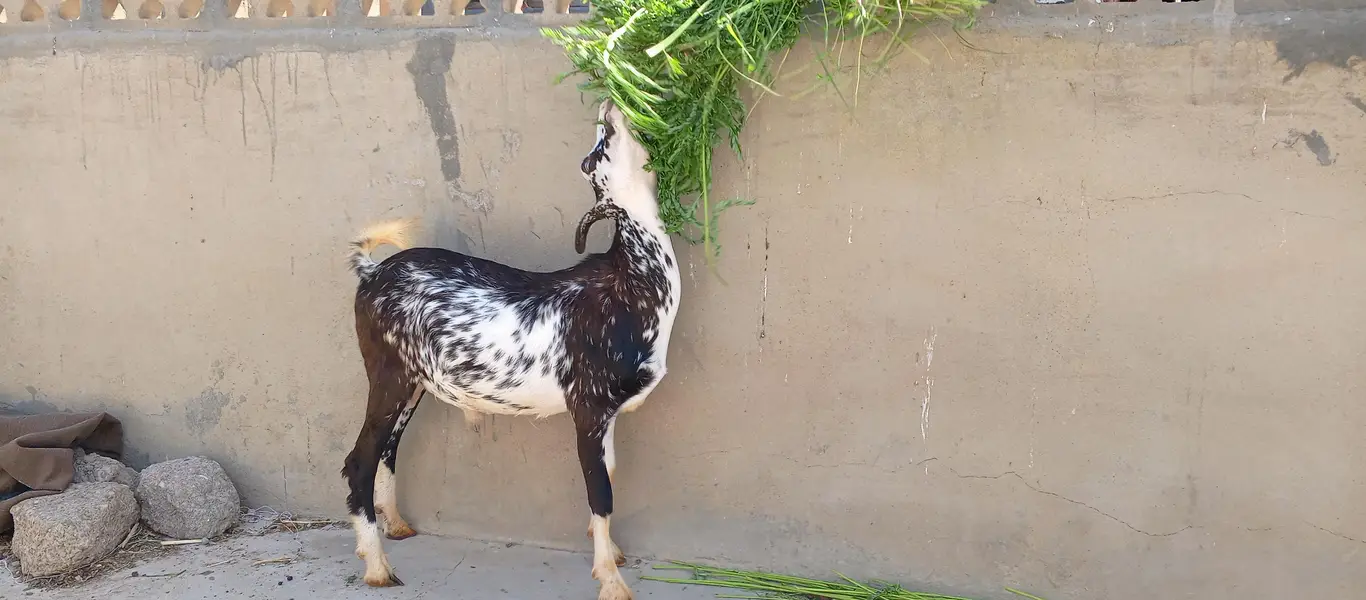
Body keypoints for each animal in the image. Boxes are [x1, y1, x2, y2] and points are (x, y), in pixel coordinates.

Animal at [340, 99, 680, 600]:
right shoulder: (588, 406)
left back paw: (395, 526)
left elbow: (611, 471)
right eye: (594, 153)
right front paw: (611, 580)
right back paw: (378, 567)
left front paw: (612, 553)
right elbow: (600, 491)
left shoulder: (610, 412)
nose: (610, 105)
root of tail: (371, 272)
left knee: (388, 448)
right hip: (387, 373)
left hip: (412, 382)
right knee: (359, 460)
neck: (628, 286)